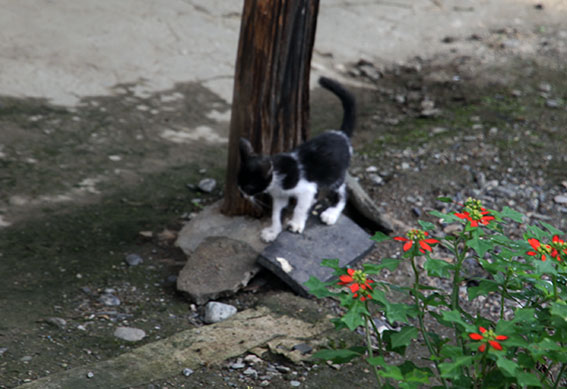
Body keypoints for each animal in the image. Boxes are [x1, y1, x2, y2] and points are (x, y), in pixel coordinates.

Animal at [239, 76, 356, 241]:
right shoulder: (280, 196)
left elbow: (300, 207)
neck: (277, 178)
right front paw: (273, 231)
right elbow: (276, 214)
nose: (242, 195)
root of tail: (341, 135)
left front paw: (296, 223)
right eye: (238, 184)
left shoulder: (306, 188)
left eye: (249, 187)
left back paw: (331, 213)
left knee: (342, 192)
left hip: (334, 175)